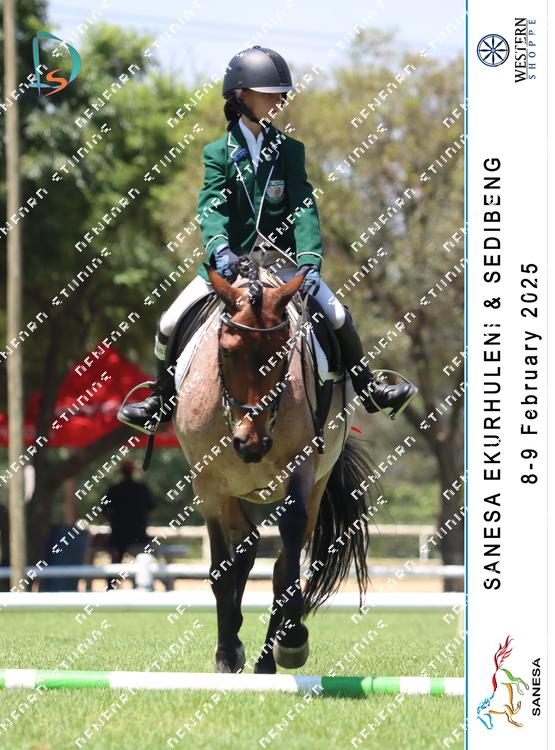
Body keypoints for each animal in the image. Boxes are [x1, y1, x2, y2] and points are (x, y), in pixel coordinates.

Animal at [173, 259, 375, 674]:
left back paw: (268, 661)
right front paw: (226, 652)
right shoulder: (208, 485)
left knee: (278, 561)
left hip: (317, 483)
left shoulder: (301, 471)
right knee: (245, 543)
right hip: (232, 489)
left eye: (282, 352)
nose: (252, 443)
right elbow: (220, 569)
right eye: (227, 351)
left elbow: (286, 560)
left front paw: (292, 638)